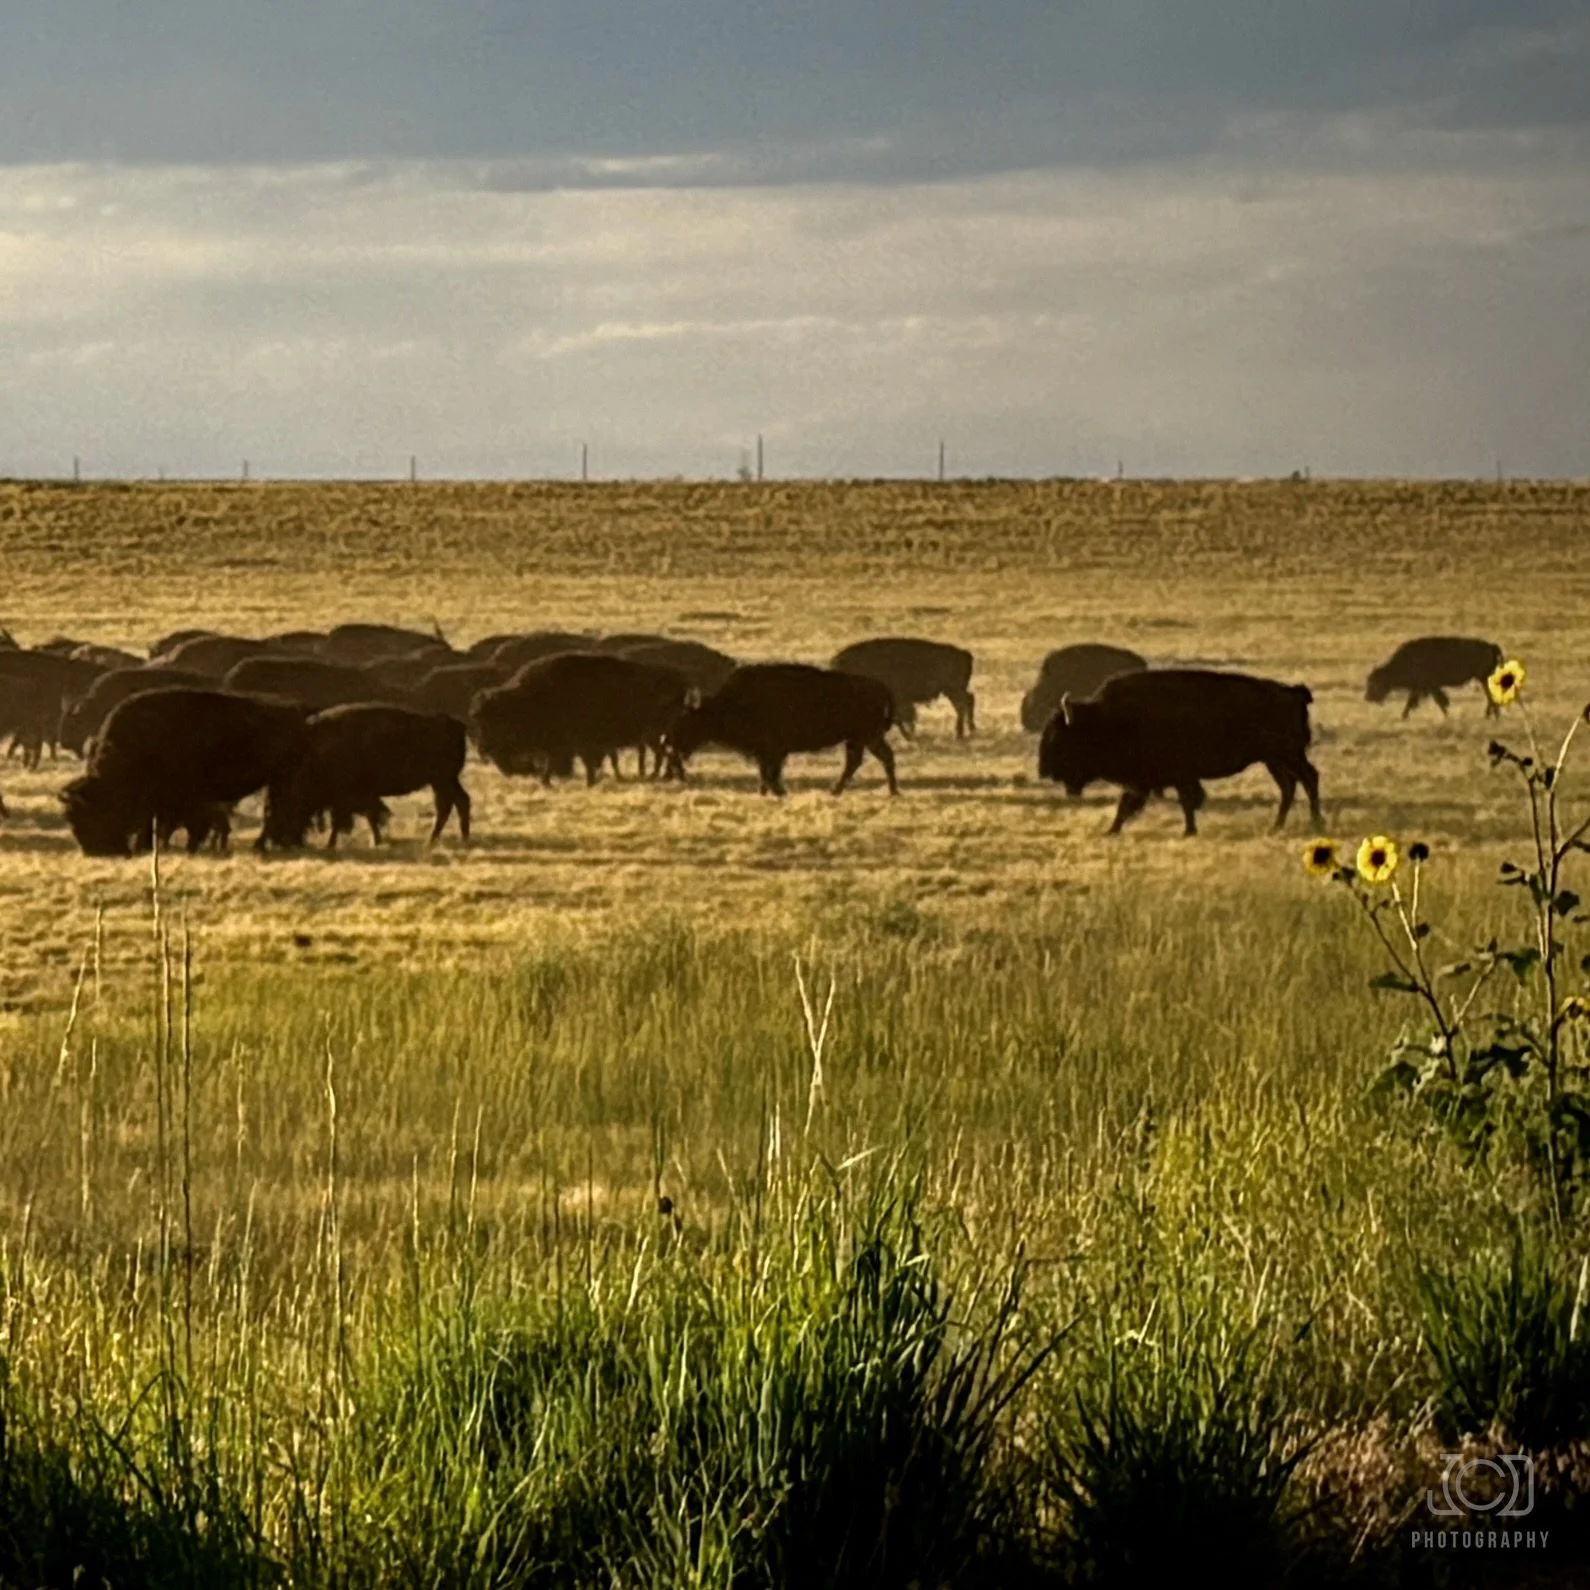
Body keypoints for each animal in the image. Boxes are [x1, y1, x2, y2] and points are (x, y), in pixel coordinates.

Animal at [261, 704, 469, 850]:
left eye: (281, 806)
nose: (278, 840)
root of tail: (455, 725)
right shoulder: (357, 796)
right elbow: (368, 816)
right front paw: (375, 840)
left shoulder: (349, 796)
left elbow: (349, 819)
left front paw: (333, 844)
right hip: (443, 781)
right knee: (458, 801)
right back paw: (457, 837)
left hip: (441, 780)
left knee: (448, 805)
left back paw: (435, 840)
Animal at [666, 663, 898, 796]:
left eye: (688, 720)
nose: (671, 743)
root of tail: (881, 687)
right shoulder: (766, 752)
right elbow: (767, 772)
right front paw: (766, 792)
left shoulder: (773, 750)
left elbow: (771, 772)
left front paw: (778, 792)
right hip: (858, 739)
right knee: (860, 761)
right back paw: (841, 790)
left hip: (867, 736)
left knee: (878, 758)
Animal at [831, 636, 975, 738]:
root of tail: (963, 653)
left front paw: (909, 734)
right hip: (953, 690)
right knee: (968, 701)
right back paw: (969, 730)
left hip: (952, 690)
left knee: (963, 705)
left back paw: (960, 733)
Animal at [1038, 668, 1321, 836]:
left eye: (1057, 738)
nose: (1044, 771)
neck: (1107, 718)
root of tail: (1293, 692)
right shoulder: (1148, 780)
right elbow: (1127, 804)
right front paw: (1111, 831)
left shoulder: (1177, 776)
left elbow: (1185, 800)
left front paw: (1188, 831)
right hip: (1273, 759)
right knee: (1289, 786)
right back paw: (1276, 826)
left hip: (1289, 755)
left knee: (1308, 778)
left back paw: (1316, 822)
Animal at [1365, 636, 1503, 718]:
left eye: (1374, 683)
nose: (1367, 697)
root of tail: (1491, 646)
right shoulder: (1429, 687)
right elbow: (1439, 701)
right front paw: (1446, 714)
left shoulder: (1421, 687)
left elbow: (1413, 701)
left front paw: (1403, 716)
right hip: (1483, 679)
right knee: (1490, 696)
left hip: (1483, 678)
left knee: (1490, 696)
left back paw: (1491, 715)